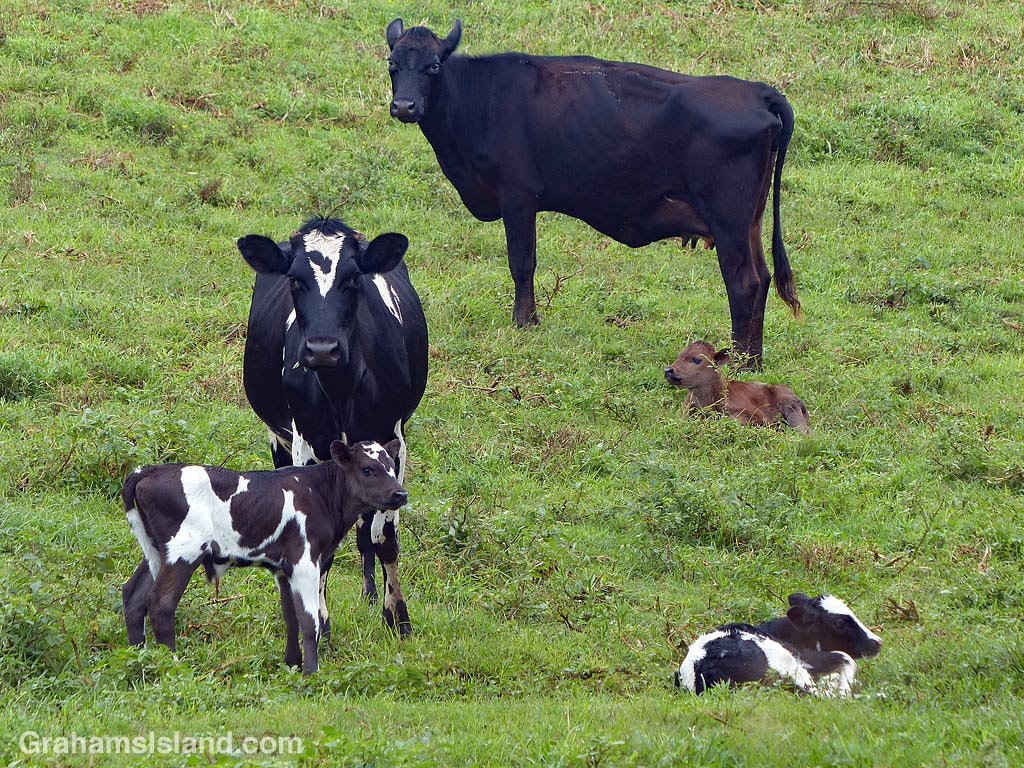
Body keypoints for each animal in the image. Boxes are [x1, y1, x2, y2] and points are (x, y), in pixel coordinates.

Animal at [121, 439, 408, 674]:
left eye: (393, 468)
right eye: (367, 469)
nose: (400, 493)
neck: (320, 492)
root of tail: (147, 471)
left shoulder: (283, 568)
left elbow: (290, 615)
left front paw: (292, 664)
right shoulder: (305, 560)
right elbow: (310, 619)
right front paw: (311, 673)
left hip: (157, 552)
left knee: (133, 595)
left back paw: (139, 659)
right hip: (184, 550)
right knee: (161, 603)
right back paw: (171, 664)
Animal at [237, 216, 428, 637]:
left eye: (354, 278)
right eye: (294, 280)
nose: (322, 349)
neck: (342, 389)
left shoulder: (393, 442)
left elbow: (384, 537)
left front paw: (397, 617)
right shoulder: (307, 445)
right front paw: (319, 625)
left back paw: (371, 593)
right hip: (278, 440)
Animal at [385, 18, 800, 366]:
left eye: (433, 66)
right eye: (392, 64)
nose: (404, 106)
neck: (479, 99)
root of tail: (758, 92)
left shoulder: (516, 195)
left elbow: (522, 262)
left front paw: (525, 322)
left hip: (728, 221)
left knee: (744, 283)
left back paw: (740, 362)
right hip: (751, 222)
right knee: (763, 278)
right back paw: (754, 359)